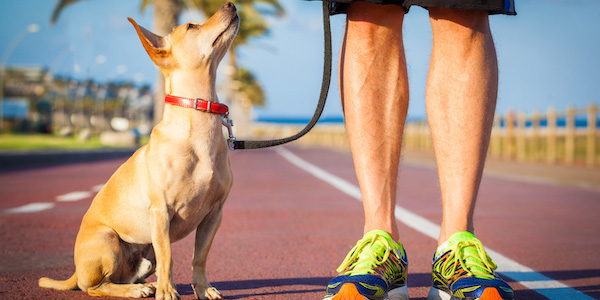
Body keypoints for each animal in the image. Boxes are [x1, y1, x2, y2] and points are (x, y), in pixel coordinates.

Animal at [37, 2, 239, 300]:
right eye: (191, 26)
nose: (230, 4)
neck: (200, 123)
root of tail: (76, 271)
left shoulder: (214, 214)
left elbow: (199, 257)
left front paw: (202, 289)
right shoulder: (161, 212)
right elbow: (169, 258)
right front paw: (167, 292)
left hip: (144, 253)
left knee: (123, 278)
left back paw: (147, 285)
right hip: (108, 241)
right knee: (96, 287)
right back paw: (139, 290)